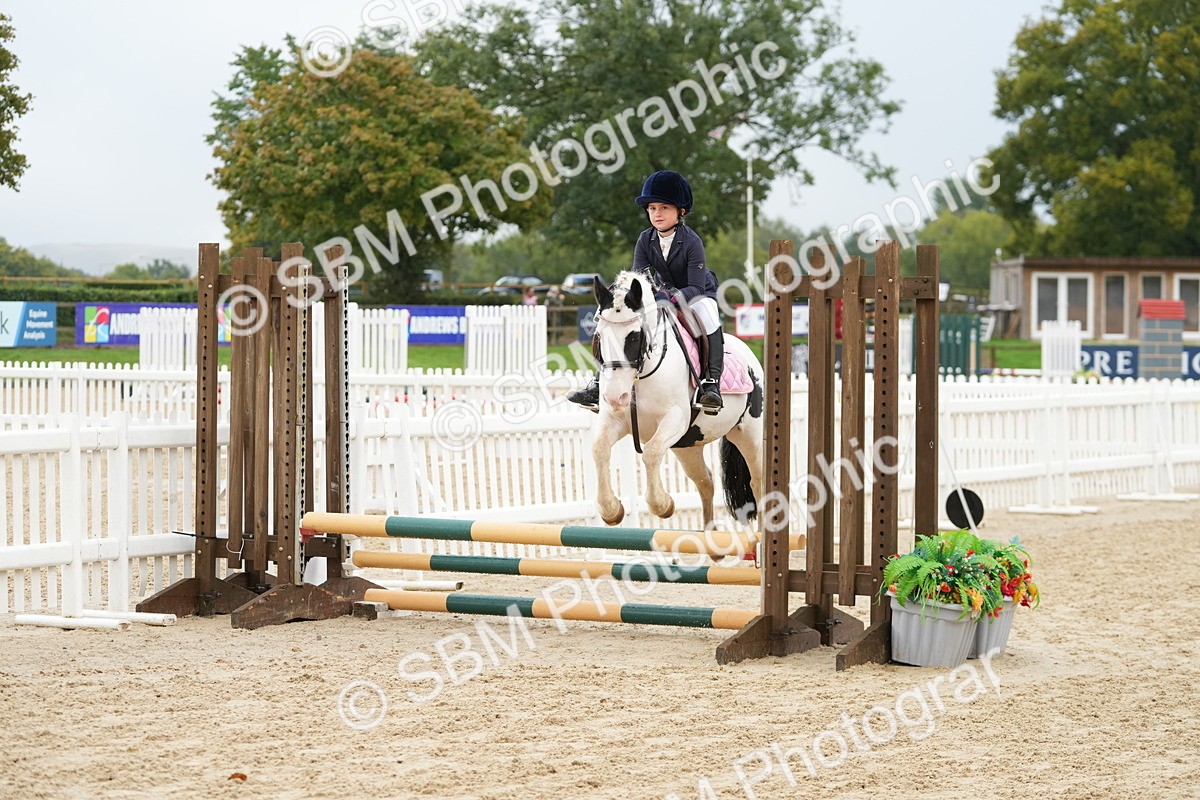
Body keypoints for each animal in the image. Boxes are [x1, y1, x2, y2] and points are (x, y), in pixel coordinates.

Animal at [589, 269, 765, 534]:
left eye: (635, 337)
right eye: (599, 336)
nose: (615, 397)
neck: (640, 375)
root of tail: (748, 352)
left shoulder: (675, 419)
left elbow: (651, 452)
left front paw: (662, 505)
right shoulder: (614, 418)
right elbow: (599, 448)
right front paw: (612, 511)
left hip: (749, 436)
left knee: (758, 482)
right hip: (687, 445)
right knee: (705, 482)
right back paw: (709, 536)